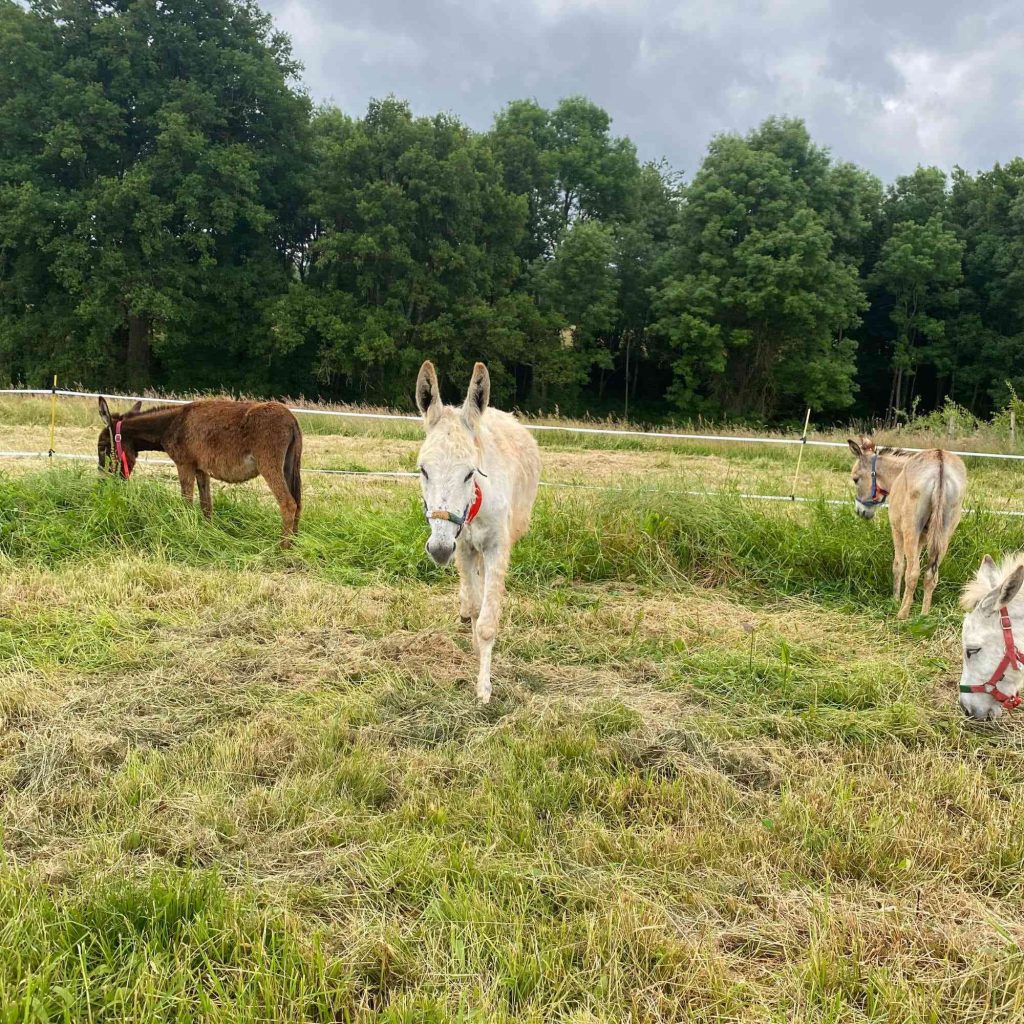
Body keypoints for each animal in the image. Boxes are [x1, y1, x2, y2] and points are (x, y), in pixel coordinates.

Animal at [97, 396, 303, 547]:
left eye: (102, 447)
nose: (103, 485)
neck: (171, 424)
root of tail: (292, 419)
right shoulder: (201, 470)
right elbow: (206, 505)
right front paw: (208, 533)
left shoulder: (184, 465)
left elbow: (186, 502)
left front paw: (185, 532)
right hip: (290, 467)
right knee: (298, 504)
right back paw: (294, 544)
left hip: (269, 465)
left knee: (288, 504)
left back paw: (282, 548)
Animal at [415, 361, 540, 703]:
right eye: (423, 470)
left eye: (470, 472)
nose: (439, 550)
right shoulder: (463, 546)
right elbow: (474, 608)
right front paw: (473, 644)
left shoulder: (497, 546)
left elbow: (487, 622)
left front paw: (484, 688)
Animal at [847, 435, 966, 619]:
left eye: (855, 479)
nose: (860, 512)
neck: (898, 474)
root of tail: (940, 463)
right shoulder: (923, 538)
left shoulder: (897, 530)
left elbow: (898, 565)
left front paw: (895, 599)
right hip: (945, 533)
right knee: (931, 574)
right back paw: (924, 615)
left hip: (911, 528)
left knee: (913, 573)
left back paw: (902, 614)